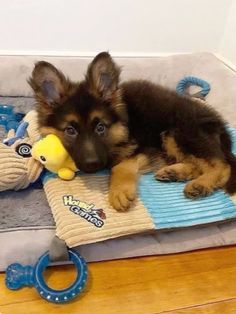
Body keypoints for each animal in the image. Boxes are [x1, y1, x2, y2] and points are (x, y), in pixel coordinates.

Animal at [29, 52, 236, 211]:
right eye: (70, 130)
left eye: (100, 127)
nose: (92, 165)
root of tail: (220, 124)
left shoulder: (144, 147)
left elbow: (120, 166)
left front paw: (119, 191)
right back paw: (175, 172)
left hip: (179, 132)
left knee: (222, 165)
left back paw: (201, 184)